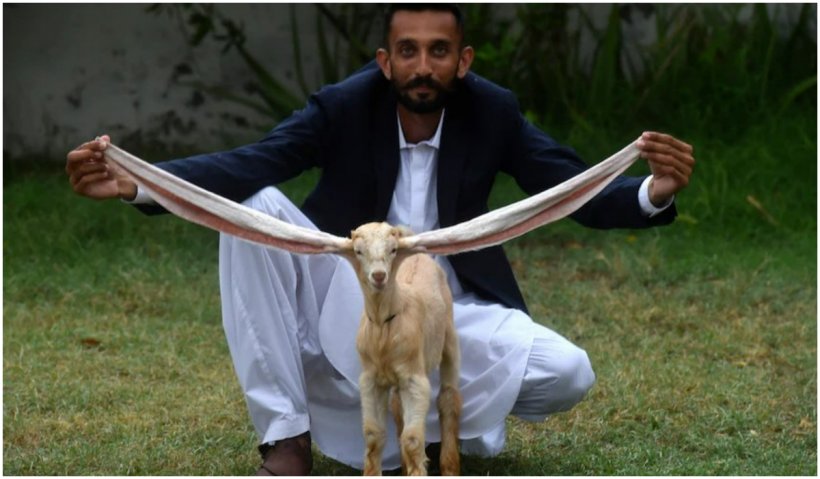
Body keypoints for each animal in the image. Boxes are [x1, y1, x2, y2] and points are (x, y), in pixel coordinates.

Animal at [348, 222, 460, 476]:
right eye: (358, 251)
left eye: (392, 250)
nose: (379, 276)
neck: (383, 326)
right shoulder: (370, 379)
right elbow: (373, 435)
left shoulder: (414, 380)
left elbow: (412, 439)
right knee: (397, 407)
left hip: (449, 335)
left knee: (449, 398)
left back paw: (450, 467)